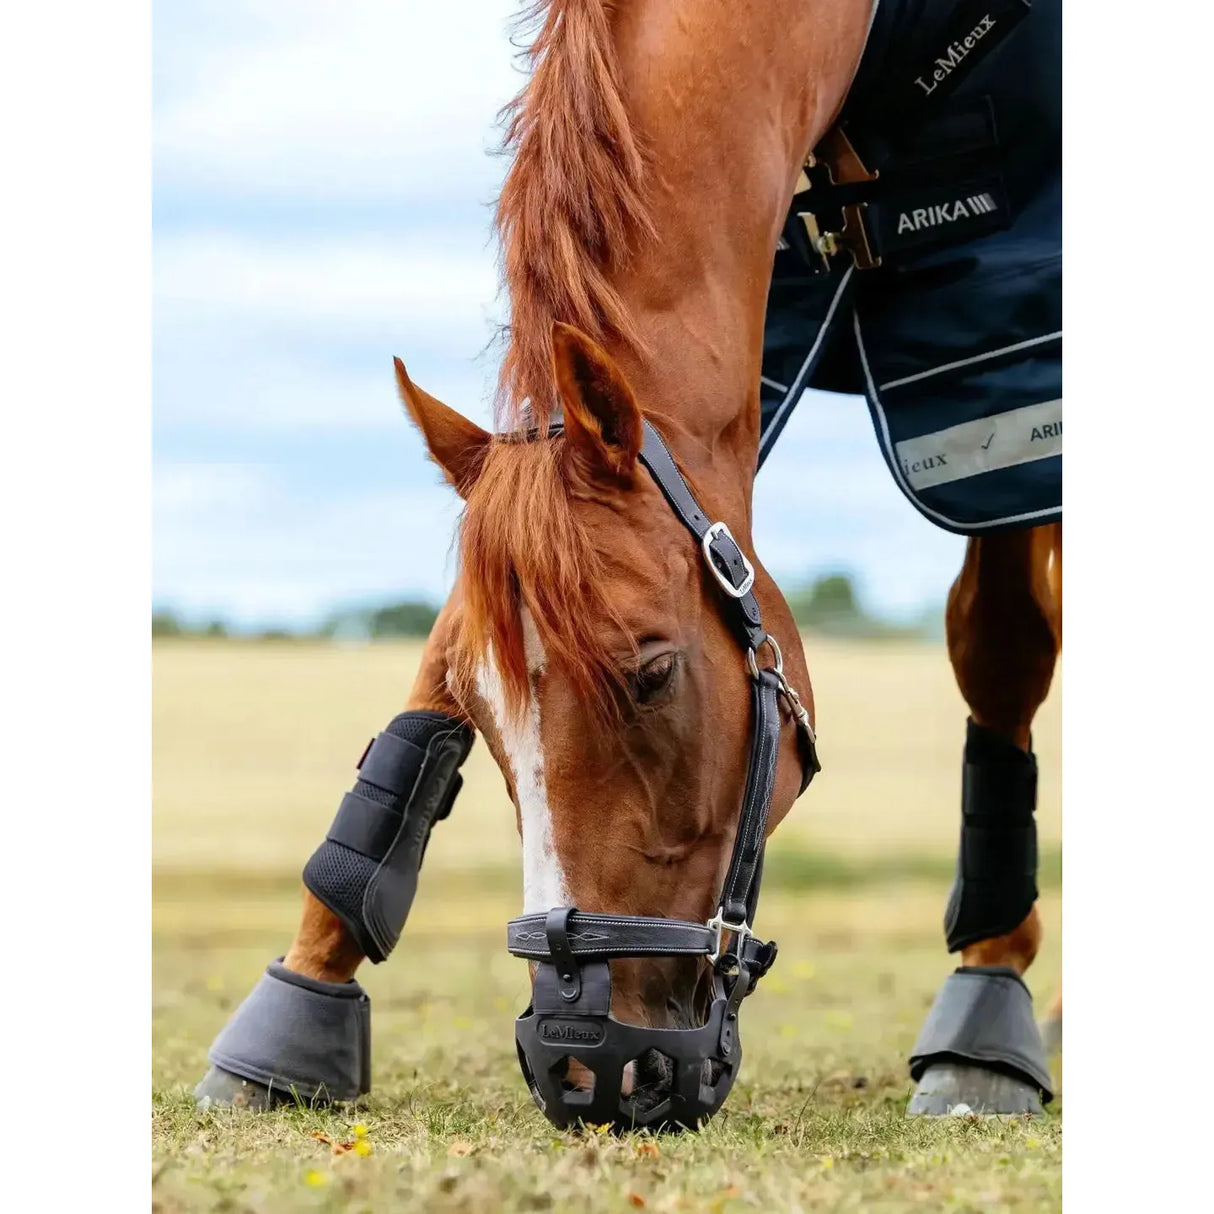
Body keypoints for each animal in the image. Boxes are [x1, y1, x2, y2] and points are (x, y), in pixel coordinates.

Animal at [196, 0, 1061, 1127]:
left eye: (651, 672)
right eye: (479, 715)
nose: (580, 1061)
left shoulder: (1006, 360)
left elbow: (1004, 647)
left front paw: (987, 1009)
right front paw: (289, 1017)